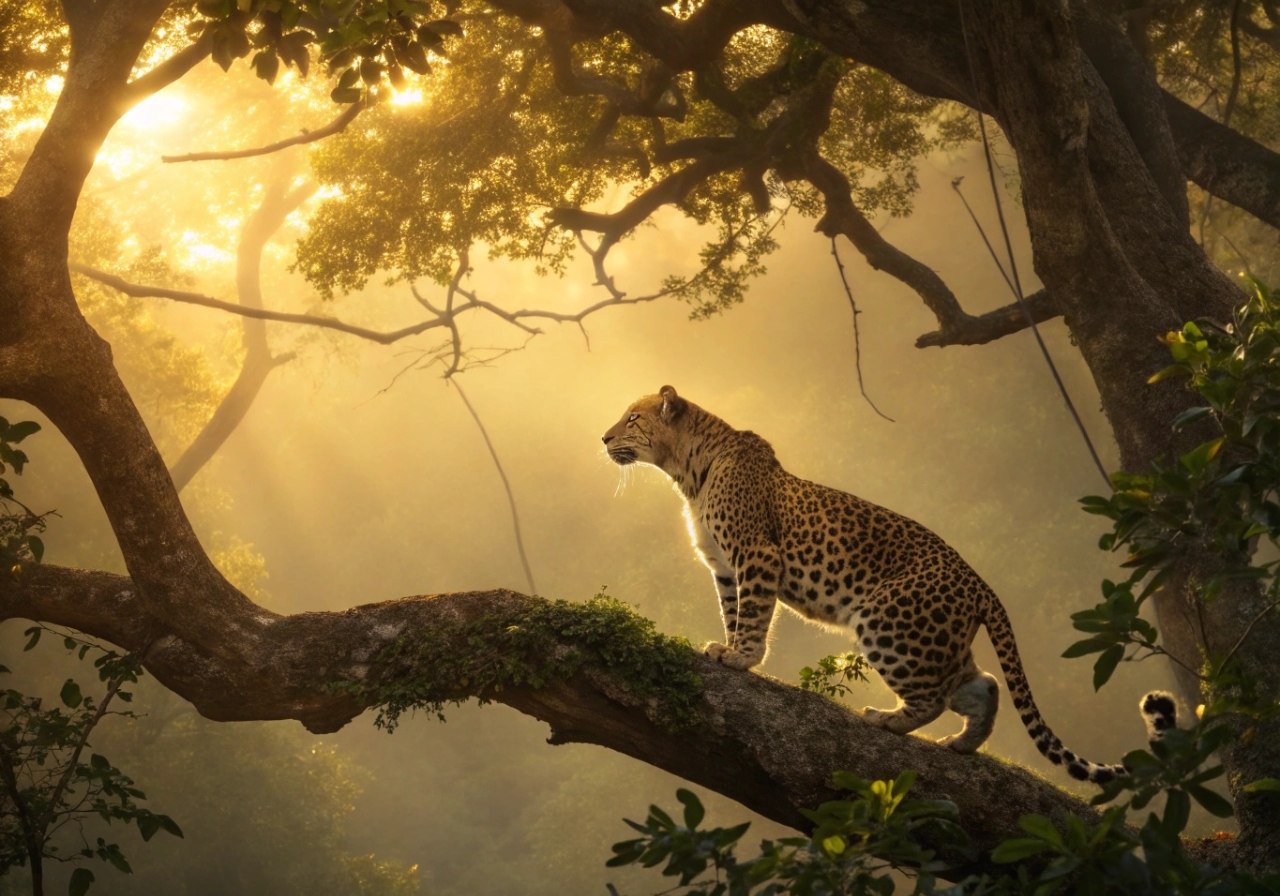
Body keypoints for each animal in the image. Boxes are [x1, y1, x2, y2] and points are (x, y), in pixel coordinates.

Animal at [601, 385, 1176, 784]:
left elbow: (755, 614)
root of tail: (980, 584)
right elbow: (733, 610)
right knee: (983, 684)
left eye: (633, 418)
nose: (604, 438)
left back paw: (885, 720)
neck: (687, 472)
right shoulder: (724, 566)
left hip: (886, 621)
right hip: (932, 639)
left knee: (937, 696)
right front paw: (725, 647)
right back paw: (963, 745)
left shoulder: (756, 555)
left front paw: (742, 659)